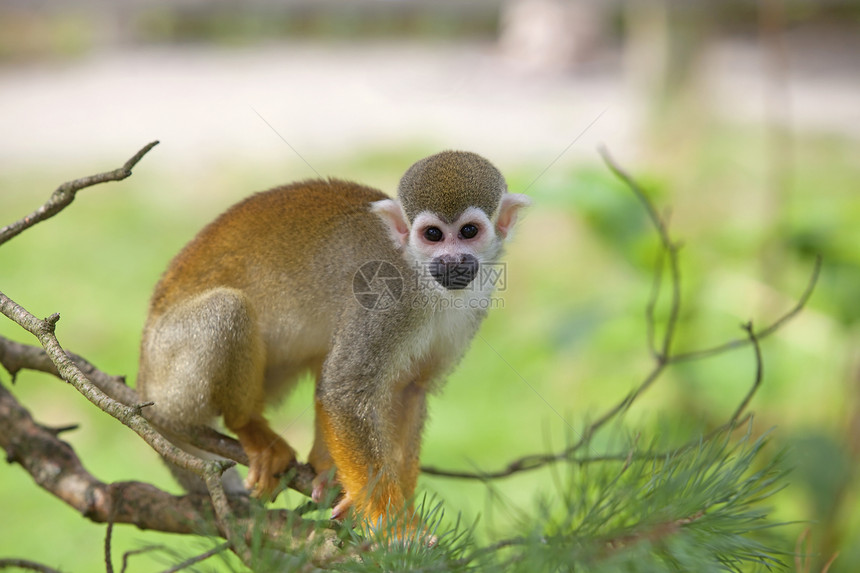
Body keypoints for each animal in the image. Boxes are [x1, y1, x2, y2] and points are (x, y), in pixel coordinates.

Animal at [137, 151, 532, 528]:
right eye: (433, 235)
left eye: (469, 231)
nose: (451, 261)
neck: (423, 279)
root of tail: (142, 379)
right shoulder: (385, 297)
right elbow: (345, 393)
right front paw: (397, 528)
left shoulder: (472, 307)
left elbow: (409, 389)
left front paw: (403, 512)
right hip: (171, 377)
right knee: (228, 309)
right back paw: (247, 425)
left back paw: (326, 469)